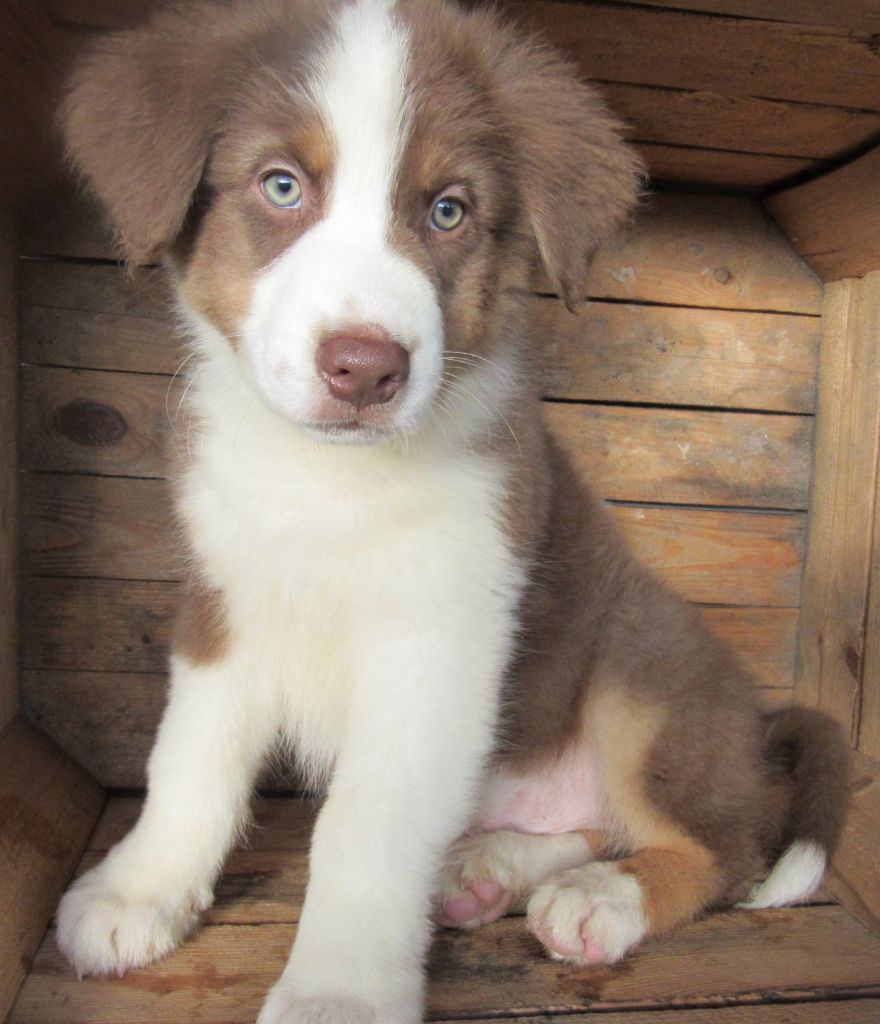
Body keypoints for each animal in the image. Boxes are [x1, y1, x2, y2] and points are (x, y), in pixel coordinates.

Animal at [55, 1, 850, 1022]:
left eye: (448, 210)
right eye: (281, 186)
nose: (365, 369)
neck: (331, 482)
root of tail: (752, 731)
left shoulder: (436, 643)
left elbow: (362, 826)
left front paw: (339, 991)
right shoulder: (222, 601)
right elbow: (187, 760)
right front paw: (139, 891)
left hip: (643, 677)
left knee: (722, 847)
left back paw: (601, 900)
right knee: (596, 823)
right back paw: (490, 867)